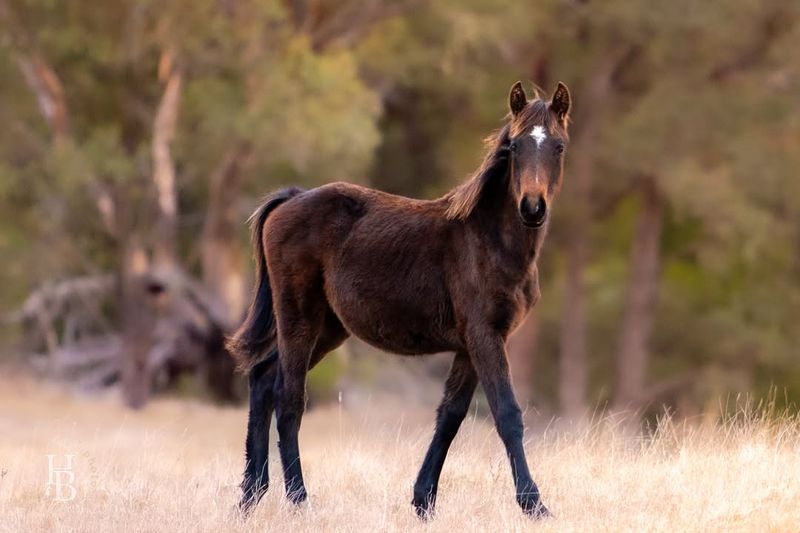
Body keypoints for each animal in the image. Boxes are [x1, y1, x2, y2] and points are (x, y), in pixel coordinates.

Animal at [228, 81, 572, 516]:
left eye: (558, 146)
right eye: (514, 146)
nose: (532, 207)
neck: (490, 240)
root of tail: (291, 198)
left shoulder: (473, 343)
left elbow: (450, 416)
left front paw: (423, 500)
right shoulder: (485, 336)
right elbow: (507, 413)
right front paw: (534, 505)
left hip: (328, 328)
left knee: (262, 378)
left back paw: (251, 496)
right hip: (298, 317)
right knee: (288, 397)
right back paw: (299, 500)